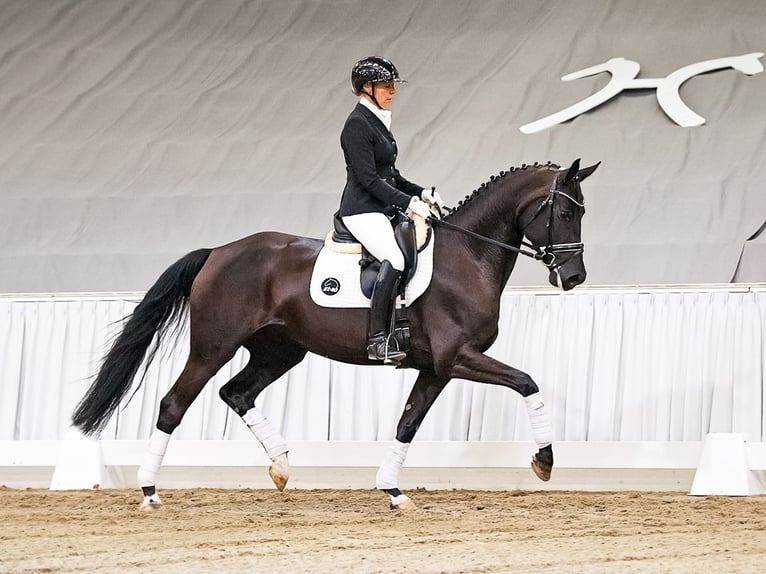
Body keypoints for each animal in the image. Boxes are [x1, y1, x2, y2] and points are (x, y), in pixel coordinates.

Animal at [72, 158, 599, 510]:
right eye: (565, 213)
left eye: (581, 212)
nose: (574, 278)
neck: (468, 257)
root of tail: (219, 251)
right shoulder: (459, 357)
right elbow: (527, 382)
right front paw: (545, 461)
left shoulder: (436, 368)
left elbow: (407, 423)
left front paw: (393, 490)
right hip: (212, 347)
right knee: (174, 404)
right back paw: (149, 491)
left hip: (281, 351)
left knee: (236, 392)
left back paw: (282, 467)